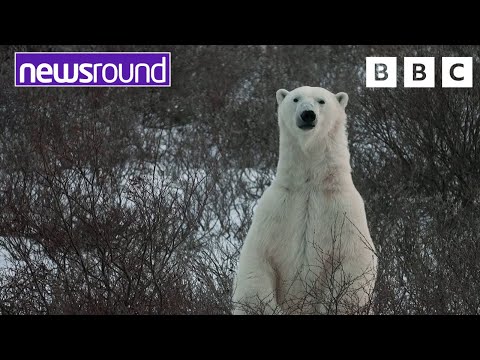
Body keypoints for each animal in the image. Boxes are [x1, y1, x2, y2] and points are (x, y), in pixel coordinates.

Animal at [233, 86, 378, 314]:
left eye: (321, 101)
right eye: (295, 99)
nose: (307, 114)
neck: (309, 186)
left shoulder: (345, 213)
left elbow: (354, 264)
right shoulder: (275, 212)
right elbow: (256, 264)